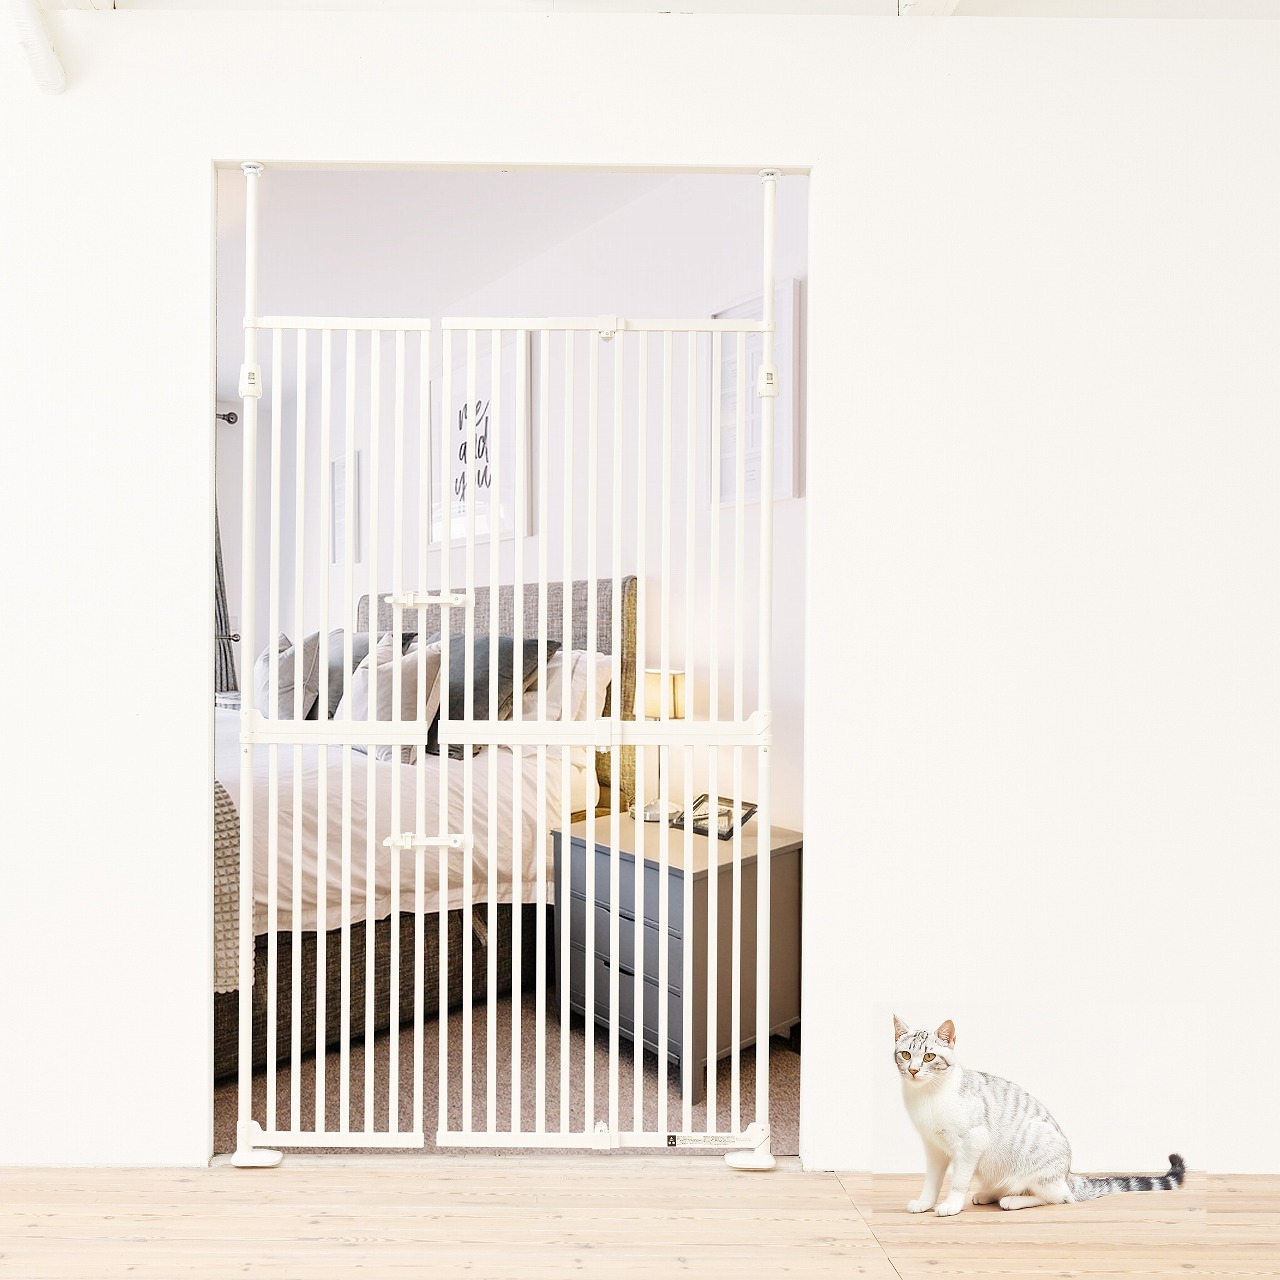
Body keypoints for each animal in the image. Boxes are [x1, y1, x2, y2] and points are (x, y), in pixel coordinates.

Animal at [893, 1016, 1186, 1216]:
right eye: (906, 1054)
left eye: (929, 1057)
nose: (914, 1070)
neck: (927, 1096)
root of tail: (1068, 1174)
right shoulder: (934, 1148)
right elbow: (932, 1180)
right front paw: (925, 1202)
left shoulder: (972, 1143)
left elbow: (959, 1179)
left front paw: (951, 1204)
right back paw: (989, 1193)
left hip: (1038, 1160)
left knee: (1059, 1197)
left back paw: (1013, 1199)